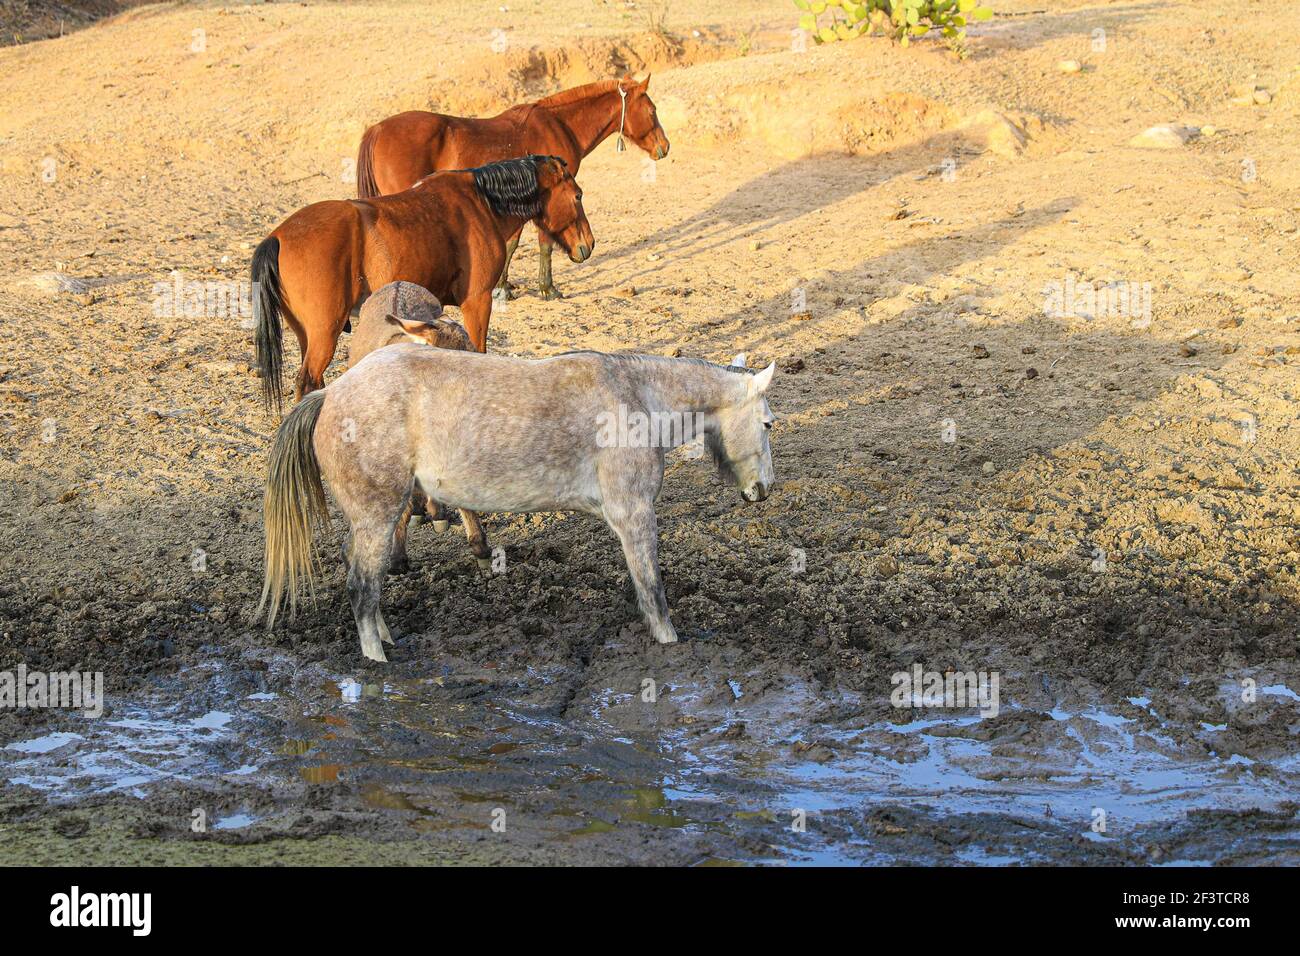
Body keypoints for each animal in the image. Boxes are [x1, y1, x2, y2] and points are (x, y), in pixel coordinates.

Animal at [249, 155, 595, 408]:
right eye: (577, 195)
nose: (588, 245)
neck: (481, 203)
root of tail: (277, 237)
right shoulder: (478, 301)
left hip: (307, 334)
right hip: (325, 332)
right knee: (308, 380)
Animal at [258, 345, 774, 665]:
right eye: (768, 423)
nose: (763, 488)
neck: (635, 397)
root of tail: (330, 393)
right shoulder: (635, 515)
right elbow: (654, 592)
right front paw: (670, 645)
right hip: (377, 517)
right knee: (361, 589)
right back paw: (376, 659)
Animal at [356, 74, 670, 299]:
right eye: (652, 109)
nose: (664, 147)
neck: (559, 124)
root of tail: (376, 129)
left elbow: (511, 243)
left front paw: (503, 286)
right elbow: (542, 243)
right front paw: (546, 288)